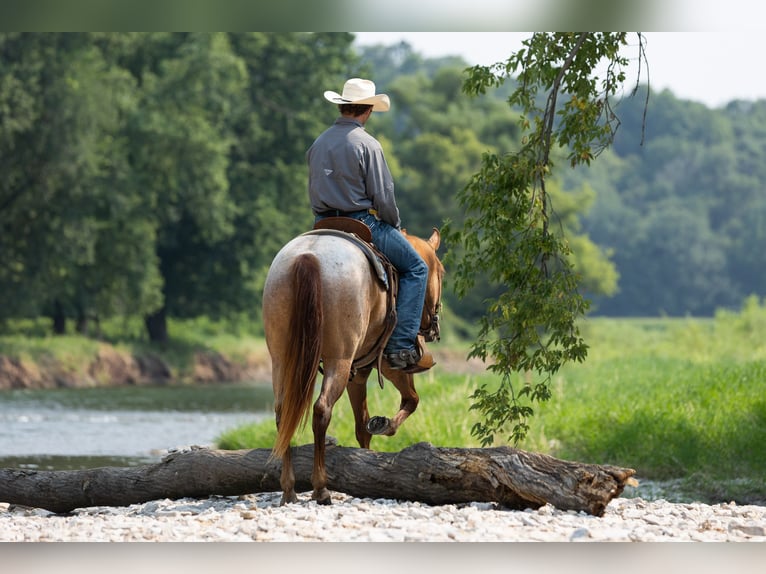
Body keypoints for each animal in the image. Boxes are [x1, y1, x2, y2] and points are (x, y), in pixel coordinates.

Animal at [262, 227, 444, 505]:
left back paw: (289, 489)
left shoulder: (356, 375)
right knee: (321, 410)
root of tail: (308, 255)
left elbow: (362, 426)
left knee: (283, 414)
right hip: (339, 361)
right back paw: (321, 488)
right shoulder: (387, 365)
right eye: (441, 272)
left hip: (282, 361)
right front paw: (384, 426)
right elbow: (411, 400)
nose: (434, 326)